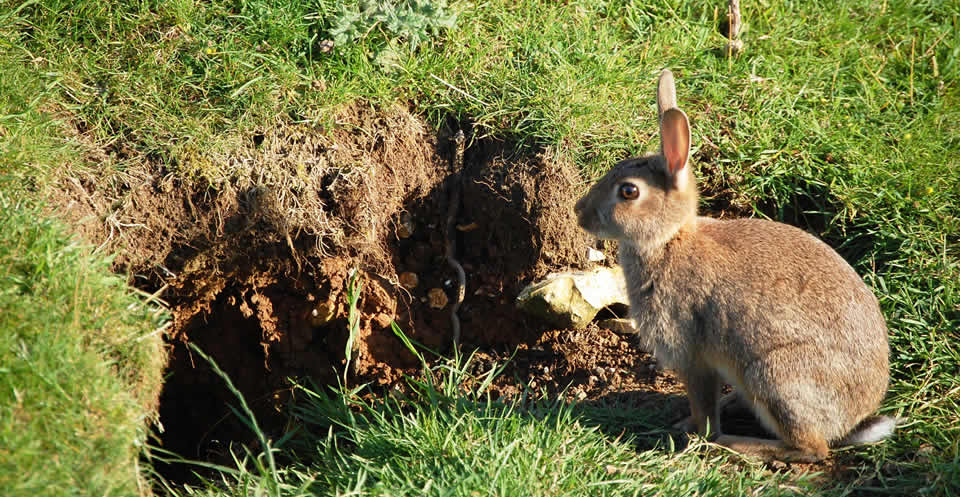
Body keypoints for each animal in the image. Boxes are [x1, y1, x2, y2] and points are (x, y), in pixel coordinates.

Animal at [574, 69, 896, 462]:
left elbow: (702, 407)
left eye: (628, 192)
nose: (579, 212)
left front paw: (697, 434)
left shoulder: (691, 354)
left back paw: (735, 443)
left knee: (811, 449)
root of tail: (854, 419)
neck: (668, 240)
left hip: (774, 376)